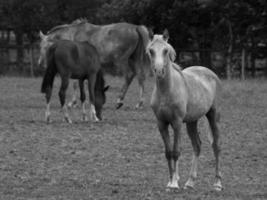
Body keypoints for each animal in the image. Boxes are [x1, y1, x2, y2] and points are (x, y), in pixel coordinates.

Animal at [148, 30, 223, 191]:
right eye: (151, 50)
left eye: (166, 50)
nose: (159, 71)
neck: (167, 91)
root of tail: (210, 73)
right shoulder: (161, 124)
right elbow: (168, 152)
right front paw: (171, 181)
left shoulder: (176, 123)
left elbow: (176, 152)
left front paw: (174, 184)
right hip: (191, 122)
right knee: (197, 146)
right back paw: (190, 182)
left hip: (214, 116)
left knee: (216, 146)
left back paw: (218, 184)